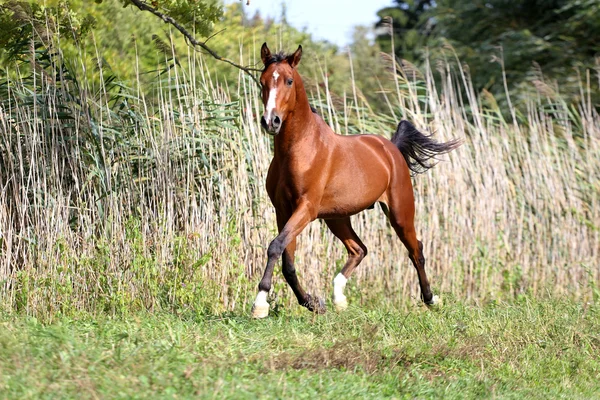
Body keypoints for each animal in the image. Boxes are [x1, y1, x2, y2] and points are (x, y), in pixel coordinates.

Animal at [251, 43, 462, 318]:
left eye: (288, 80)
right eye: (262, 81)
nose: (271, 121)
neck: (299, 149)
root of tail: (390, 148)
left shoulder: (306, 208)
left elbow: (275, 247)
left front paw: (260, 304)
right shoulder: (283, 210)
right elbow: (287, 260)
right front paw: (313, 303)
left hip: (400, 213)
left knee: (416, 250)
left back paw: (431, 299)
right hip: (337, 218)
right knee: (359, 249)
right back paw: (339, 298)